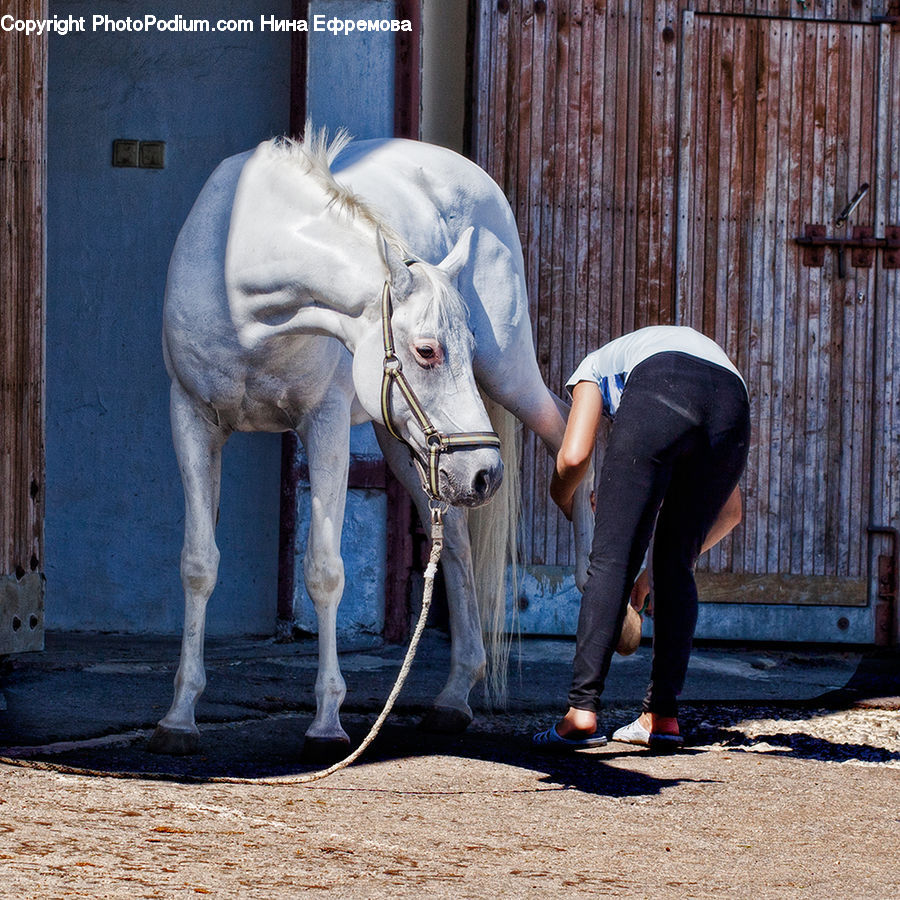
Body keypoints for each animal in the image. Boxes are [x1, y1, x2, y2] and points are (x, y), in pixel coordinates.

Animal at [150, 129, 593, 756]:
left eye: (465, 341)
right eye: (427, 350)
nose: (486, 473)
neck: (242, 290)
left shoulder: (326, 424)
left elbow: (324, 571)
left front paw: (326, 723)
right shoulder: (191, 418)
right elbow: (197, 564)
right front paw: (179, 717)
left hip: (505, 375)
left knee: (563, 428)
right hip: (407, 446)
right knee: (456, 542)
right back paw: (453, 697)